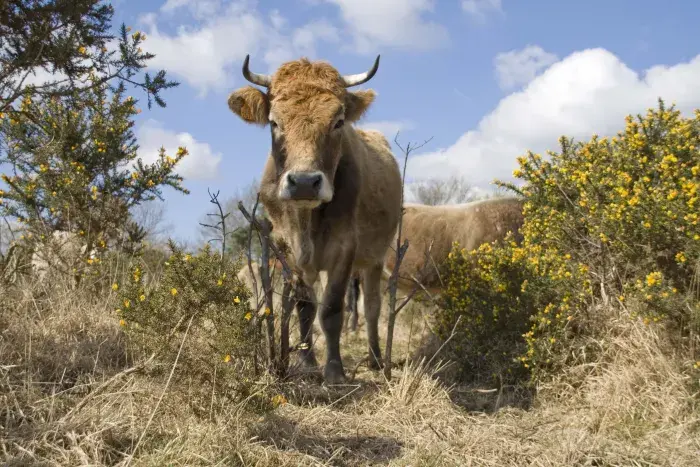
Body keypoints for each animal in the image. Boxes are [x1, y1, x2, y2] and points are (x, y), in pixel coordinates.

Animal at [227, 55, 403, 383]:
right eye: (274, 122)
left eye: (338, 121)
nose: (305, 182)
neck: (305, 221)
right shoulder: (286, 248)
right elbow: (304, 307)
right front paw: (307, 361)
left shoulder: (345, 248)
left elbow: (331, 309)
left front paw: (334, 370)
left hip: (375, 257)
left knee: (373, 307)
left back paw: (375, 358)